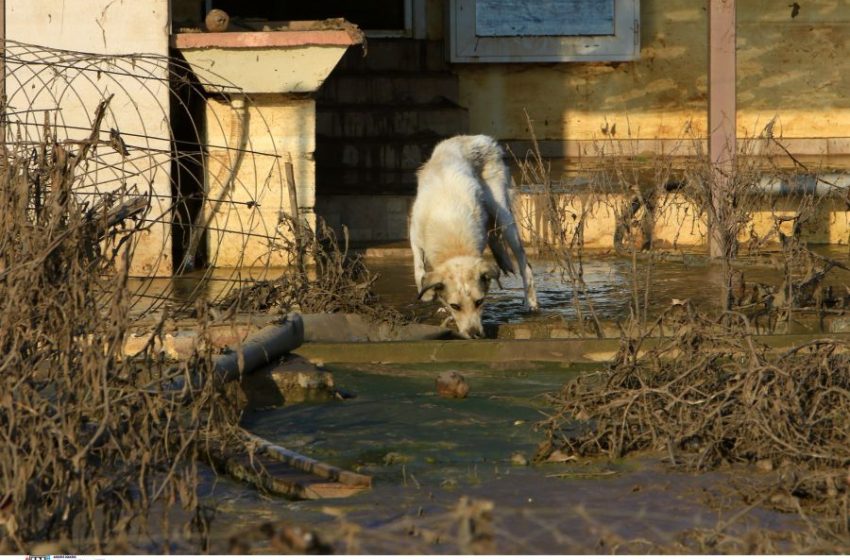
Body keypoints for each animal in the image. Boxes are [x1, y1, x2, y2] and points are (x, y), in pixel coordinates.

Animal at [410, 135, 536, 336]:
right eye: (455, 306)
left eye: (480, 302)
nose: (475, 334)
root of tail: (479, 138)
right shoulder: (414, 233)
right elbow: (419, 266)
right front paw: (428, 293)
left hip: (503, 213)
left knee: (525, 263)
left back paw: (531, 302)